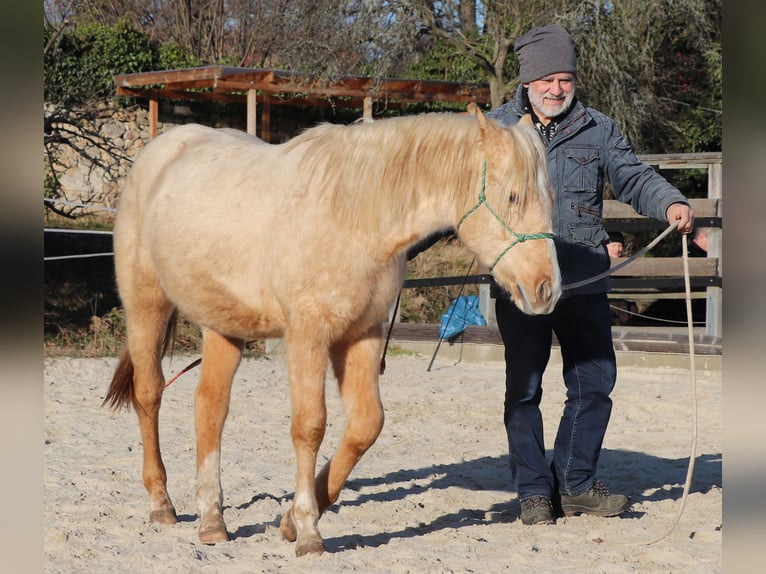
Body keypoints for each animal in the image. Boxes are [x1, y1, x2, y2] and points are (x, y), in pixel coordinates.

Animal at [103, 109, 561, 556]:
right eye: (513, 196)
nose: (547, 289)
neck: (356, 216)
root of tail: (160, 151)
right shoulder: (307, 335)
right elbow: (310, 426)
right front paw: (308, 530)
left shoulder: (362, 334)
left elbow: (365, 425)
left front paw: (291, 520)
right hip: (147, 305)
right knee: (149, 394)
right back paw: (162, 503)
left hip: (224, 325)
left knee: (210, 408)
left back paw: (212, 519)